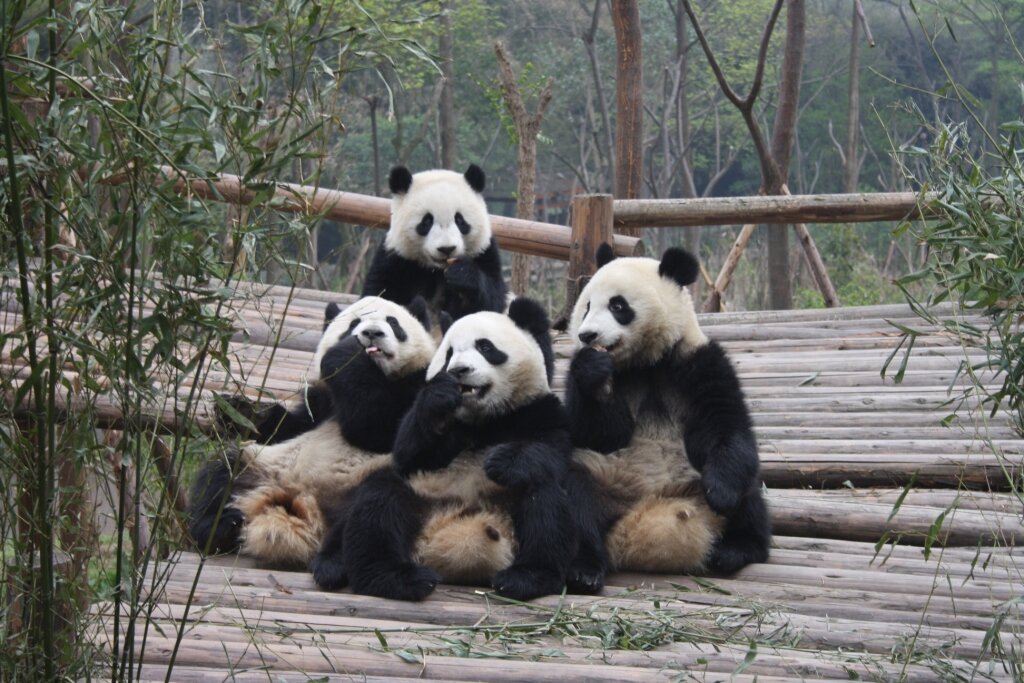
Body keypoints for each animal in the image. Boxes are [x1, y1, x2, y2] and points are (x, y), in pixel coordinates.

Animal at [186, 296, 434, 565]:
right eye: (353, 323)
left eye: (394, 323)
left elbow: (380, 428)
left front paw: (348, 354)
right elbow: (288, 427)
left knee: (378, 501)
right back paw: (219, 528)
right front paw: (240, 410)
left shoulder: (420, 382)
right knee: (222, 471)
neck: (379, 373)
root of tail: (304, 501)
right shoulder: (321, 401)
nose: (371, 334)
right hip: (263, 465)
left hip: (375, 478)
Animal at [364, 162, 507, 327]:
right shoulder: (395, 260)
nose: (447, 249)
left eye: (460, 220)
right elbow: (378, 294)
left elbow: (491, 302)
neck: (437, 270)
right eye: (427, 221)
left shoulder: (484, 252)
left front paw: (462, 274)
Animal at [565, 245, 770, 577]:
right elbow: (600, 434)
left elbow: (726, 425)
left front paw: (721, 493)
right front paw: (592, 368)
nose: (587, 335)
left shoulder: (697, 363)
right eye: (586, 306)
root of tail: (638, 515)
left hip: (696, 484)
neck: (646, 362)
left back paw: (735, 549)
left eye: (618, 305)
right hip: (602, 475)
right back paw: (584, 567)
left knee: (749, 491)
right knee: (573, 495)